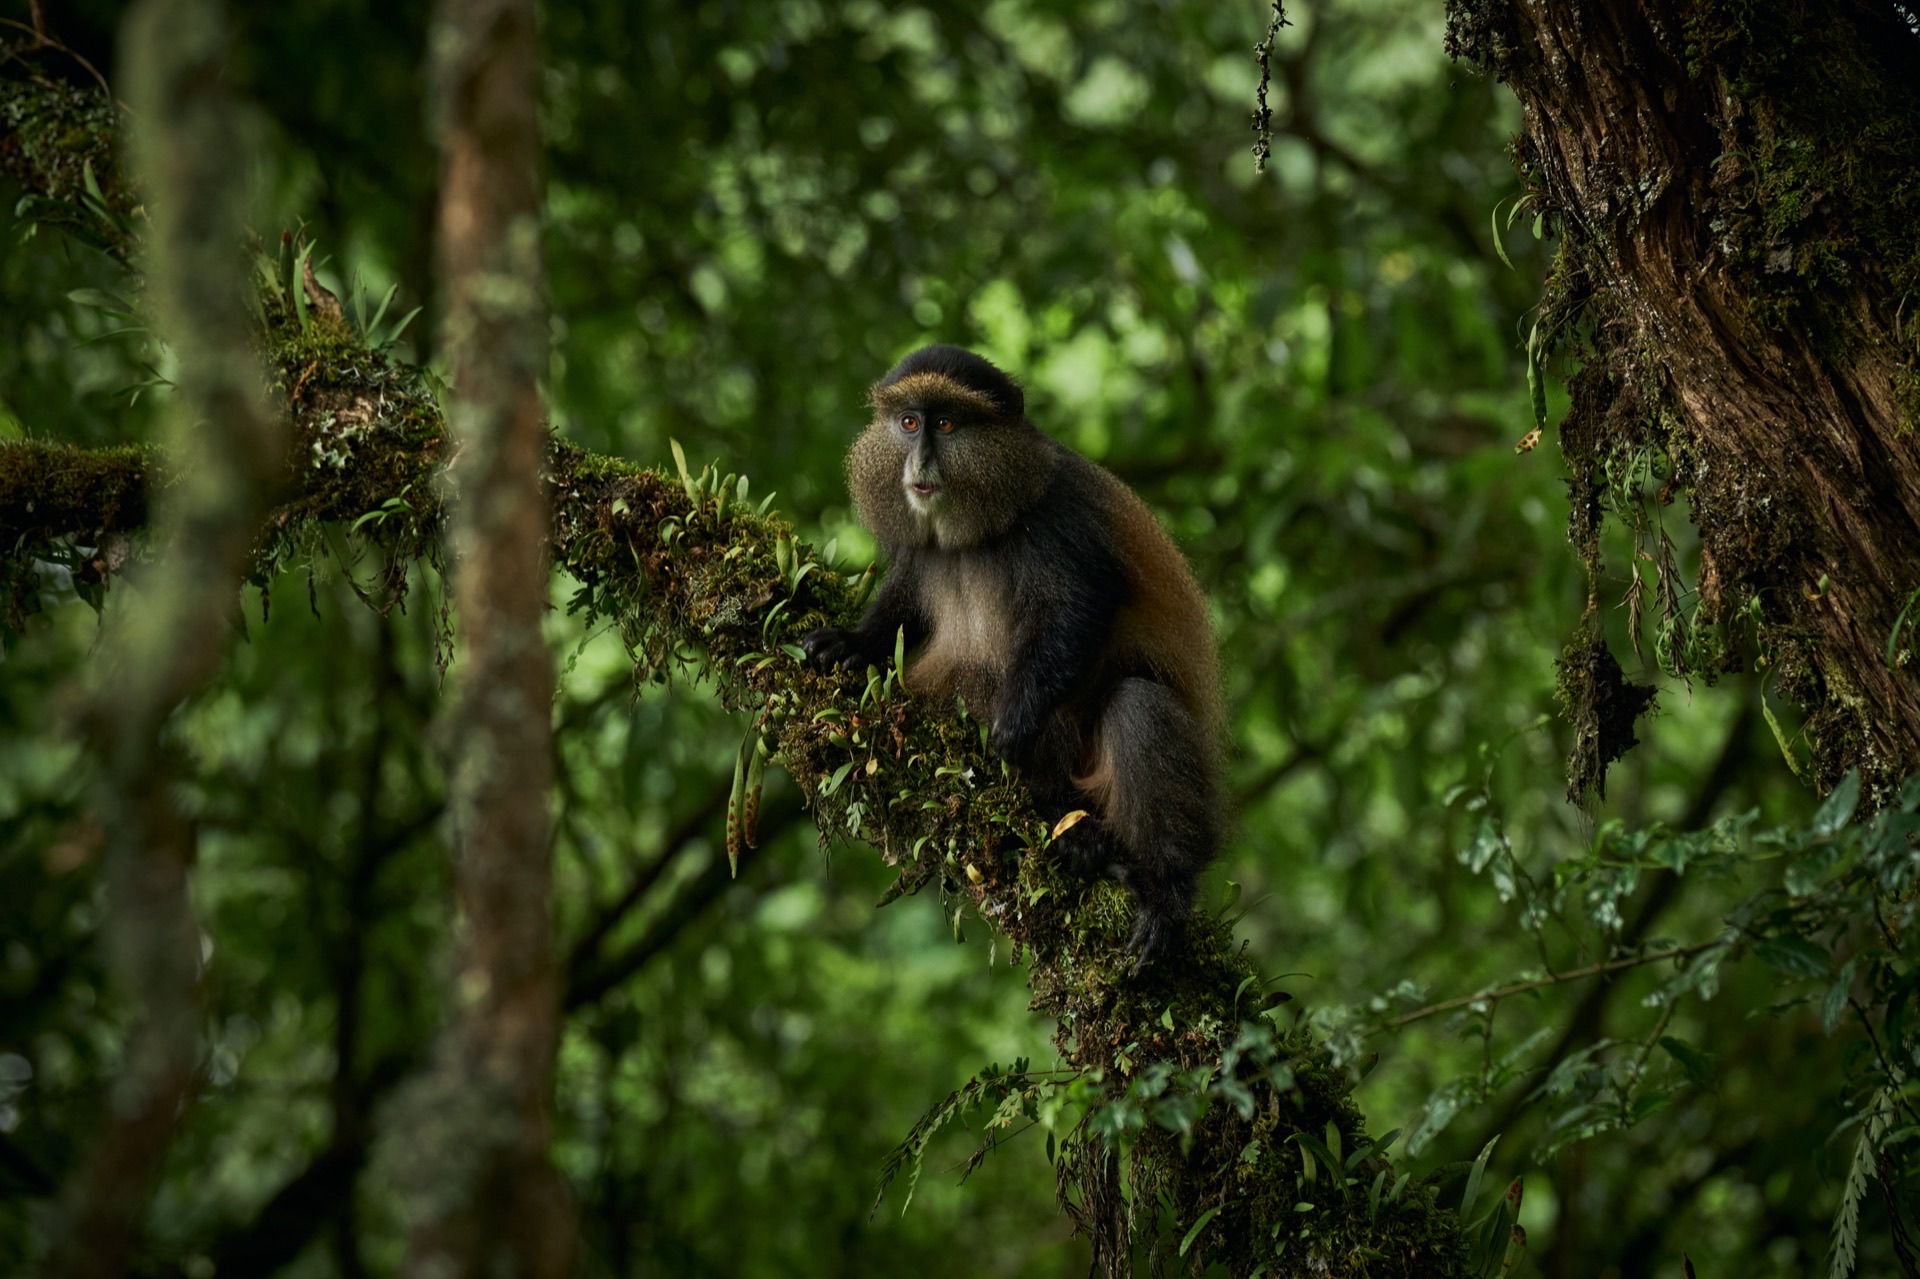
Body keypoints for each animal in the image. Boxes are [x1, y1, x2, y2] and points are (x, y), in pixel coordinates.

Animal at [802, 344, 1223, 965]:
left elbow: (1080, 608)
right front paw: (853, 643)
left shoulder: (1059, 519)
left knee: (1138, 706)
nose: (919, 462)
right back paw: (1075, 835)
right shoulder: (917, 550)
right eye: (909, 423)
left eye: (947, 425)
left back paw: (1163, 888)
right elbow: (904, 602)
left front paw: (1017, 719)